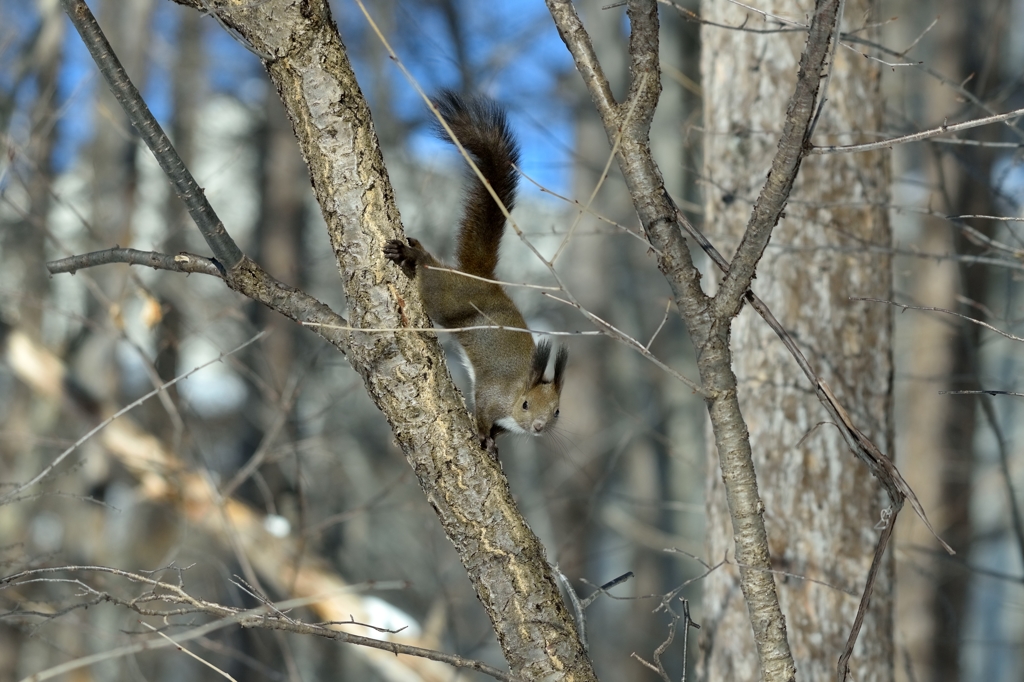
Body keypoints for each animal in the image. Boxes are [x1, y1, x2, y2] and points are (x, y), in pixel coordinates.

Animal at [385, 89, 569, 450]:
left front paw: (495, 440)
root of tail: (482, 278)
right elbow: (483, 410)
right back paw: (415, 254)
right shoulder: (491, 394)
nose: (539, 426)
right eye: (526, 404)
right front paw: (484, 434)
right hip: (447, 298)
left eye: (557, 411)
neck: (516, 392)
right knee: (432, 274)